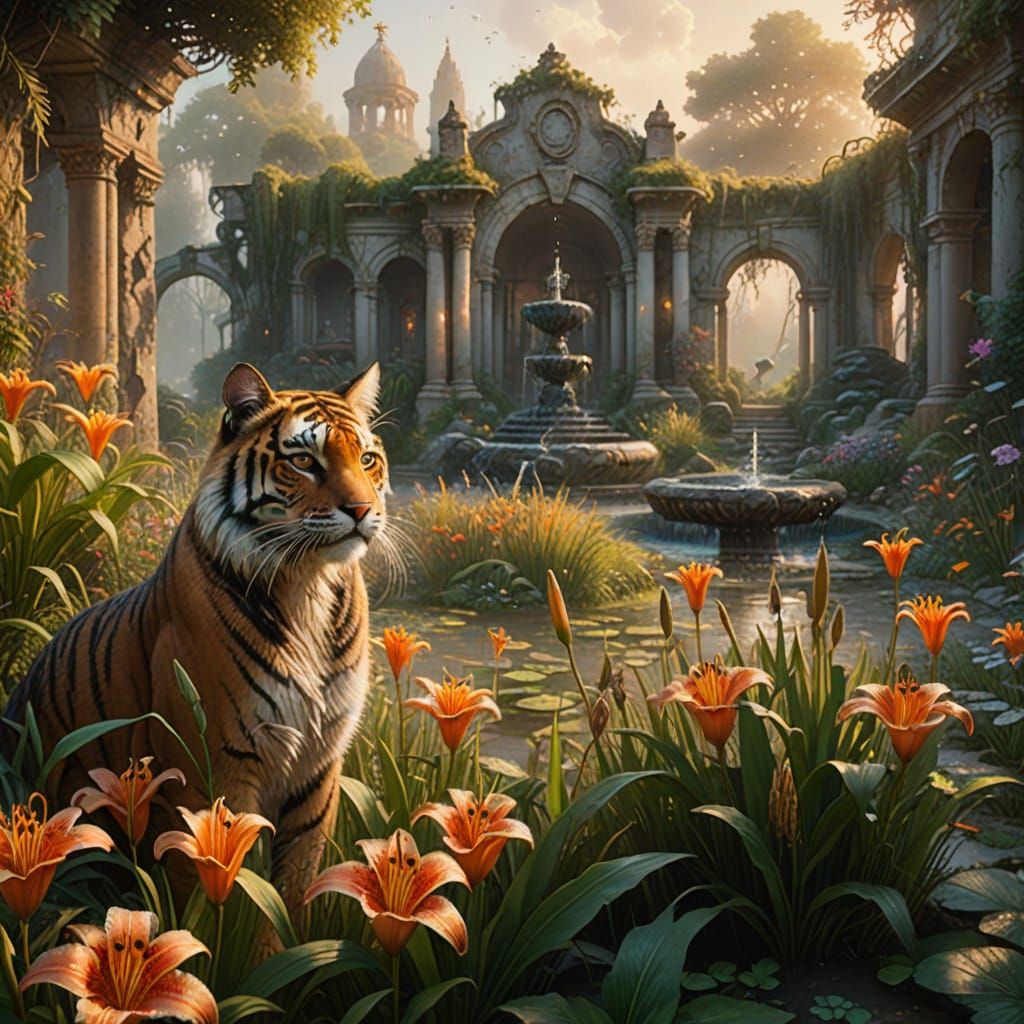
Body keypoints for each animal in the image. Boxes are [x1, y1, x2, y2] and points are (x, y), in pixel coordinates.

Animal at [4, 361, 391, 910]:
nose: (361, 510)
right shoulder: (213, 763)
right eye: (303, 461)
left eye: (367, 458)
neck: (308, 583)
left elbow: (295, 887)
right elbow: (222, 889)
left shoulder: (319, 767)